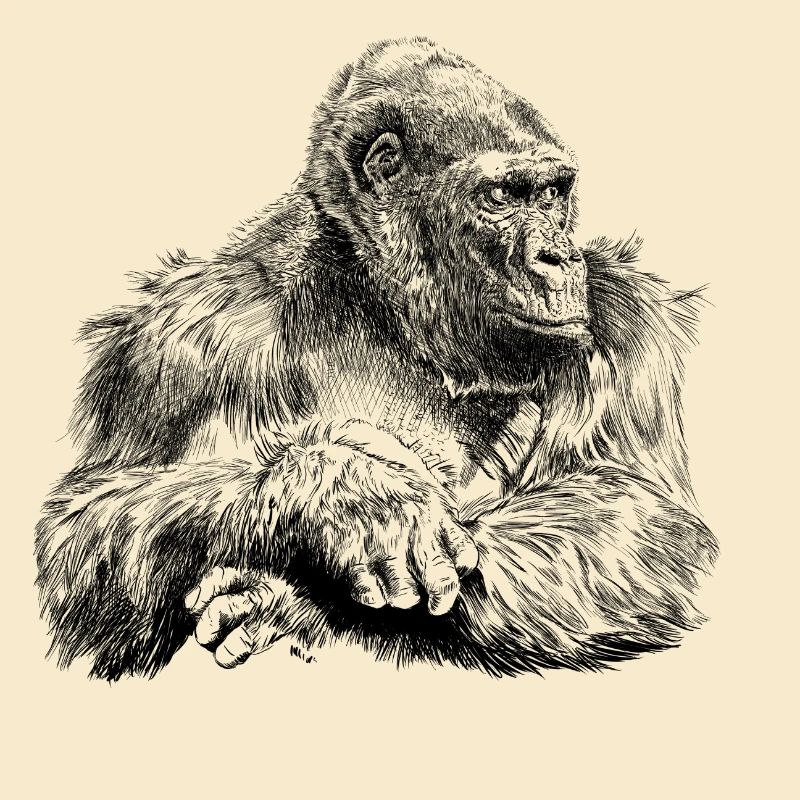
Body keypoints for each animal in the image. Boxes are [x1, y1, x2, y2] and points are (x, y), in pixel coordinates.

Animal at [35, 37, 718, 680]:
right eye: (503, 196)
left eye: (552, 194)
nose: (558, 257)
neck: (384, 304)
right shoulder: (185, 337)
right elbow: (87, 528)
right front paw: (345, 495)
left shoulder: (629, 321)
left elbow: (643, 519)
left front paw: (297, 602)